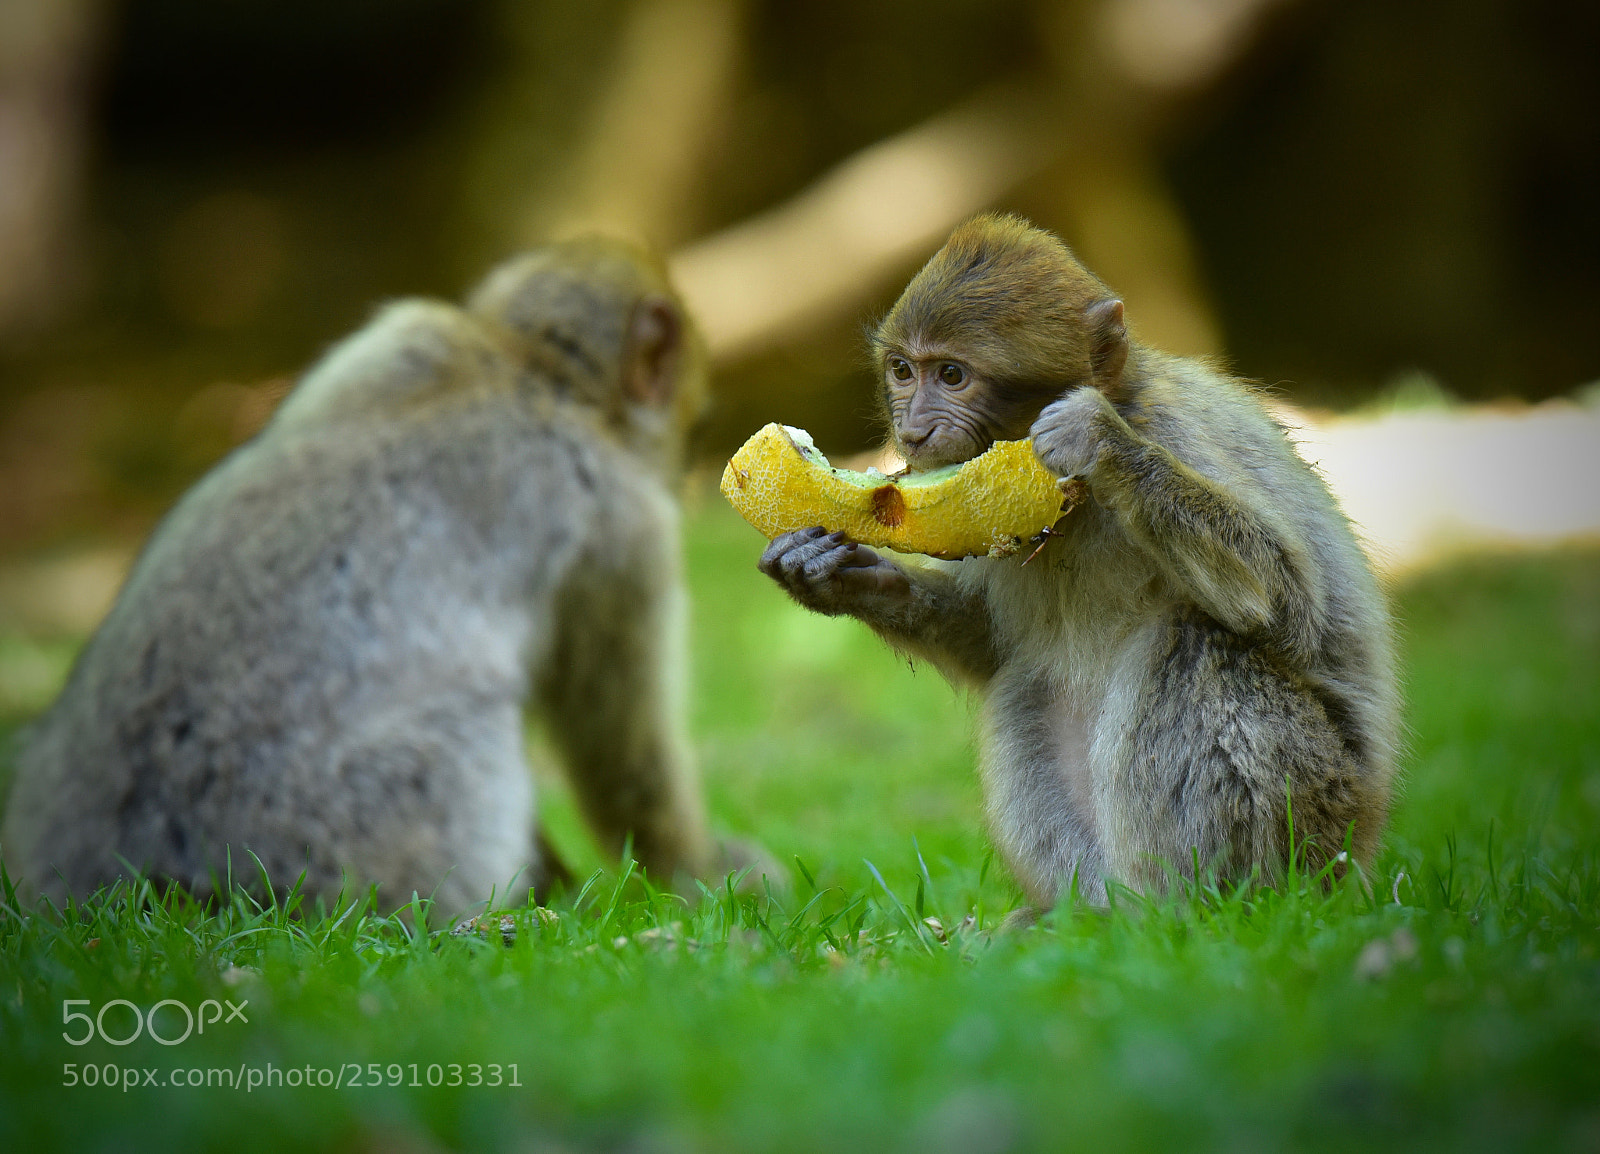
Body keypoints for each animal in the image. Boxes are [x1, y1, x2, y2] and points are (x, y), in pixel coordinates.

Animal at [1, 237, 762, 915]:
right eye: (696, 426)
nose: (689, 467)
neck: (526, 368)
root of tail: (138, 877)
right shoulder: (626, 528)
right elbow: (621, 749)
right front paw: (699, 870)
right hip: (352, 832)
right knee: (476, 728)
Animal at [759, 213, 1400, 909]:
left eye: (952, 375)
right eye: (903, 371)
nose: (914, 430)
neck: (1076, 503)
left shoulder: (1180, 430)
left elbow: (1296, 613)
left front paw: (1102, 440)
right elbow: (988, 644)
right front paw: (835, 574)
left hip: (1315, 823)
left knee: (1200, 640)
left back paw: (1181, 909)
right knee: (1026, 683)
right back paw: (1084, 915)